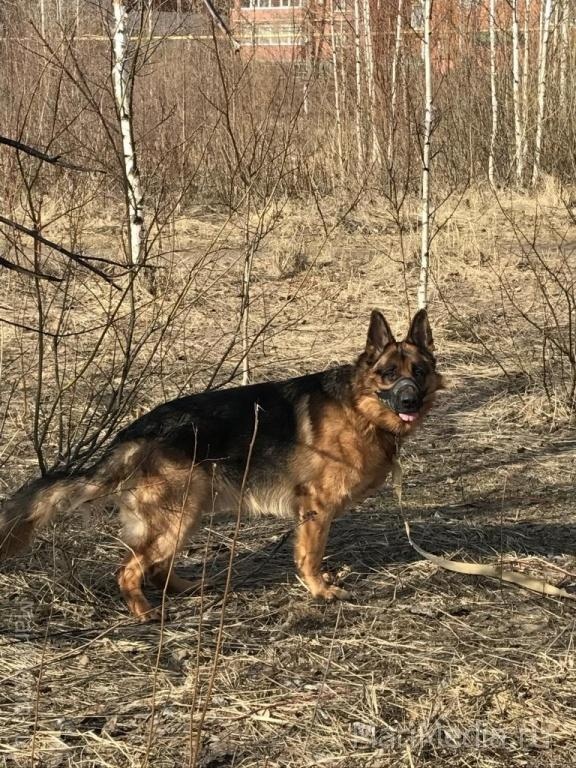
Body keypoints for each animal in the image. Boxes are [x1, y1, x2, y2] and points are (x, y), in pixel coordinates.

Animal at [0, 309, 442, 620]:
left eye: (419, 372)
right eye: (388, 373)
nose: (409, 401)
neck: (359, 408)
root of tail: (138, 431)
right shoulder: (315, 509)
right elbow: (311, 555)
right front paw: (320, 591)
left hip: (185, 515)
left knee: (156, 568)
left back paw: (184, 588)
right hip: (177, 516)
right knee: (129, 570)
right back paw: (145, 613)